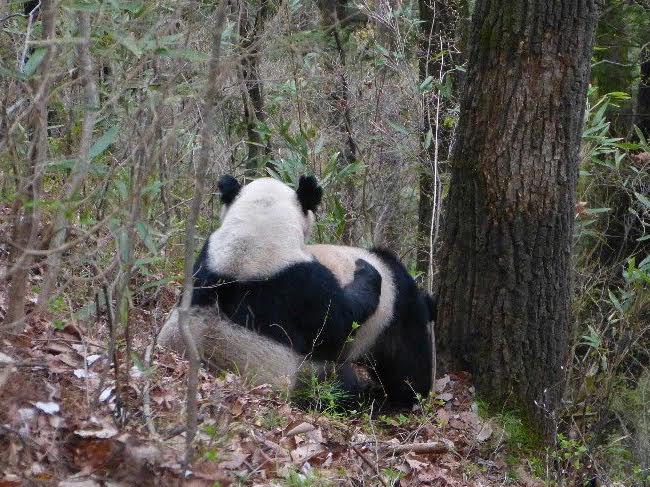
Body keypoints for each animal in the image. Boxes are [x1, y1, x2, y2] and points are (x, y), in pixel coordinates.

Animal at [185, 174, 432, 408]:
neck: (251, 236)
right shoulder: (301, 288)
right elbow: (338, 324)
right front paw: (367, 273)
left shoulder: (208, 261)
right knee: (395, 361)